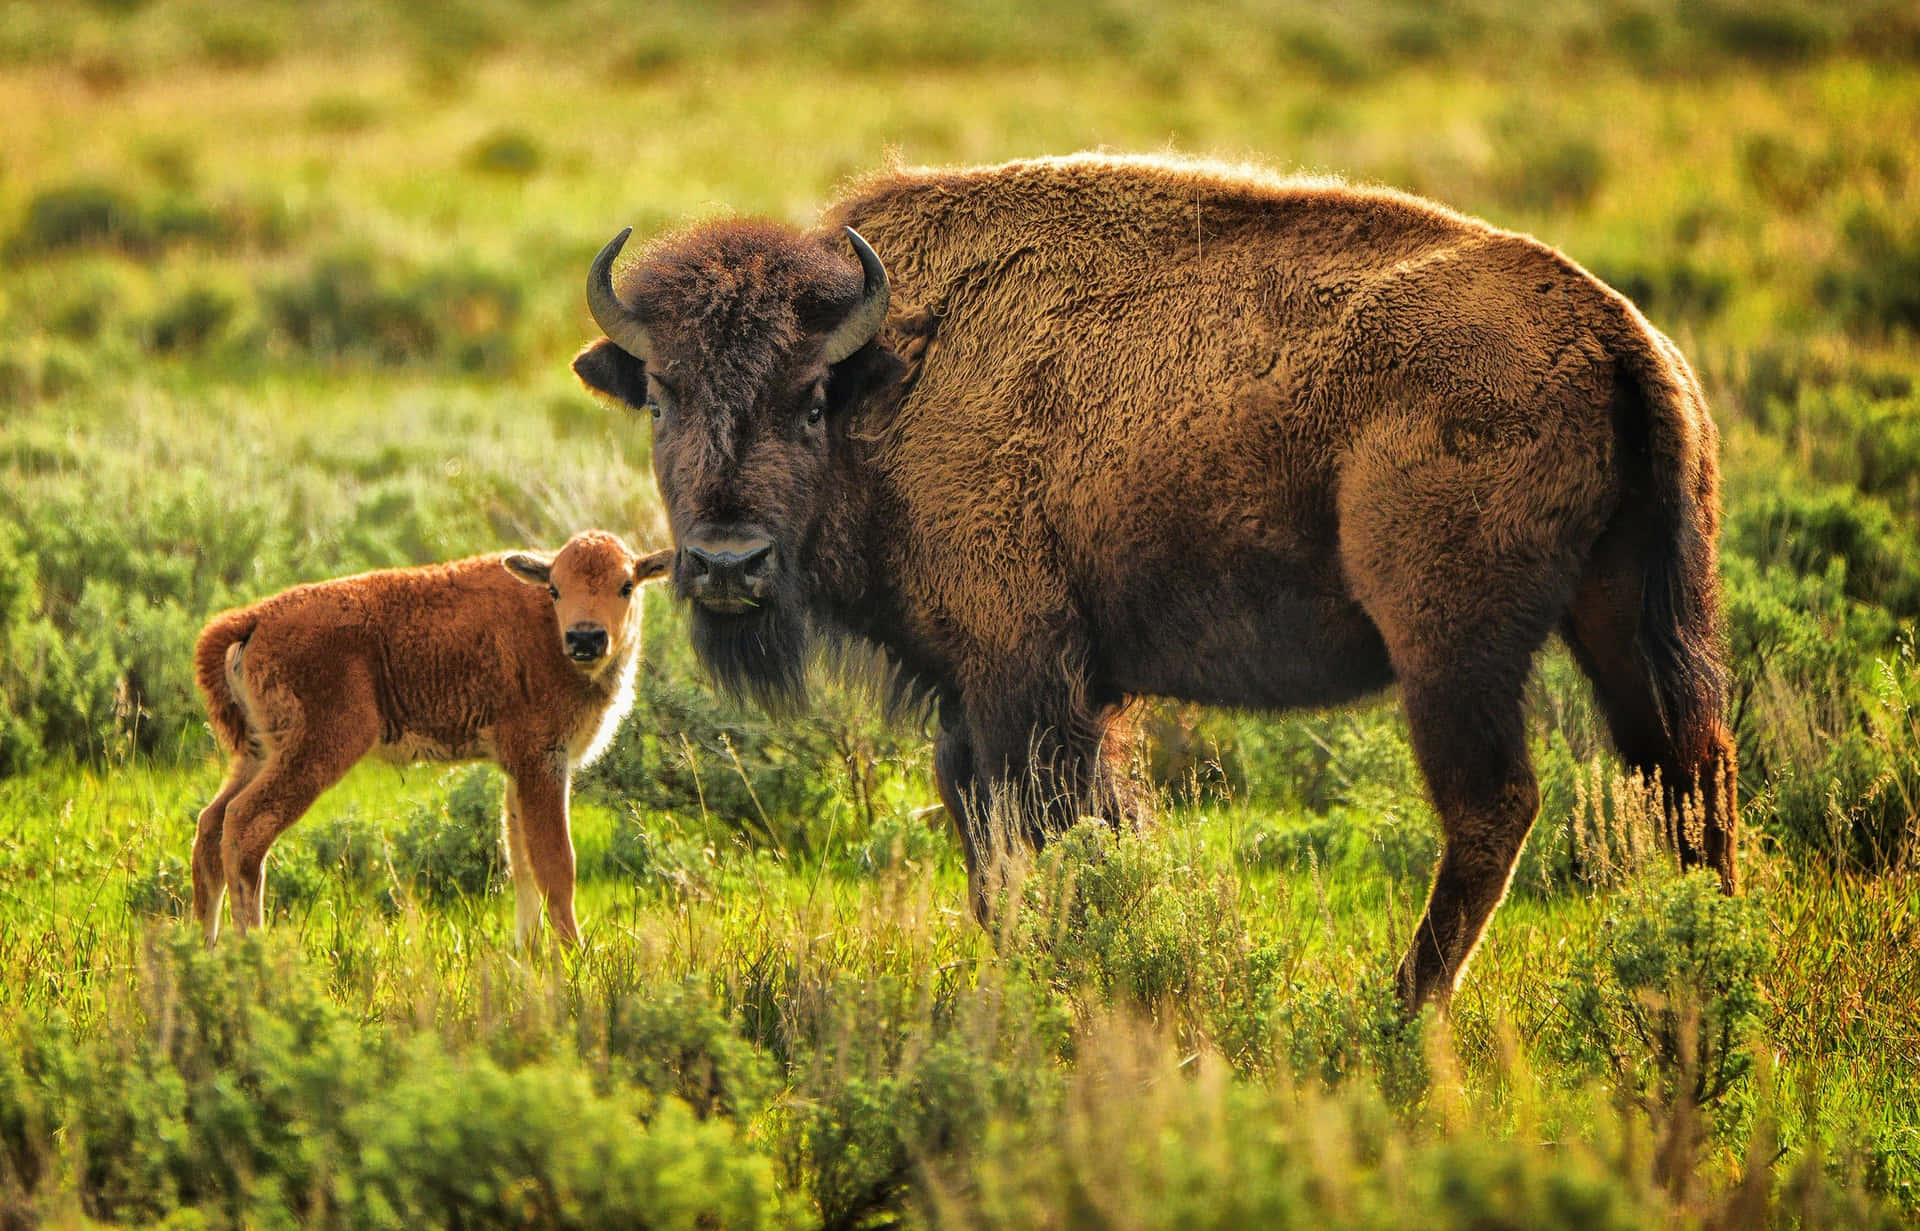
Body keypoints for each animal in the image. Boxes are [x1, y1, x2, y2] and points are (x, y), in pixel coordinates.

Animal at [188, 530, 668, 941]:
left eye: (626, 585)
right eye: (555, 589)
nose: (586, 638)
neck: (546, 631)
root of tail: (254, 619)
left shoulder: (520, 770)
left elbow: (521, 861)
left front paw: (529, 954)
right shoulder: (542, 761)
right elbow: (556, 865)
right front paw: (571, 957)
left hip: (260, 753)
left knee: (211, 825)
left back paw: (207, 946)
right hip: (317, 752)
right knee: (245, 826)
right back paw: (253, 946)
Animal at [572, 153, 1743, 1006]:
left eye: (811, 397)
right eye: (661, 396)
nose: (727, 562)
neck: (898, 371)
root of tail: (1616, 331)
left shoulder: (1028, 675)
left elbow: (1059, 825)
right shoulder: (985, 692)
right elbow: (994, 838)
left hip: (1450, 648)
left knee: (1495, 806)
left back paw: (1402, 1006)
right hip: (1630, 619)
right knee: (1688, 776)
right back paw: (1712, 962)